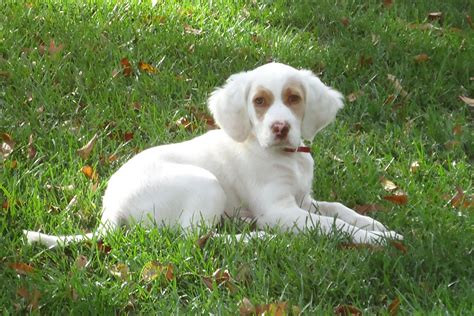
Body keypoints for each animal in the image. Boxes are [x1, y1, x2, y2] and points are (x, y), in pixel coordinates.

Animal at [24, 62, 402, 247]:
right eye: (259, 101)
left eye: (294, 98)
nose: (280, 127)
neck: (286, 156)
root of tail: (111, 213)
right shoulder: (280, 211)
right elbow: (332, 225)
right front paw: (376, 239)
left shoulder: (303, 199)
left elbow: (339, 209)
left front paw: (376, 225)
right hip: (206, 183)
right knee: (194, 239)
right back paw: (255, 237)